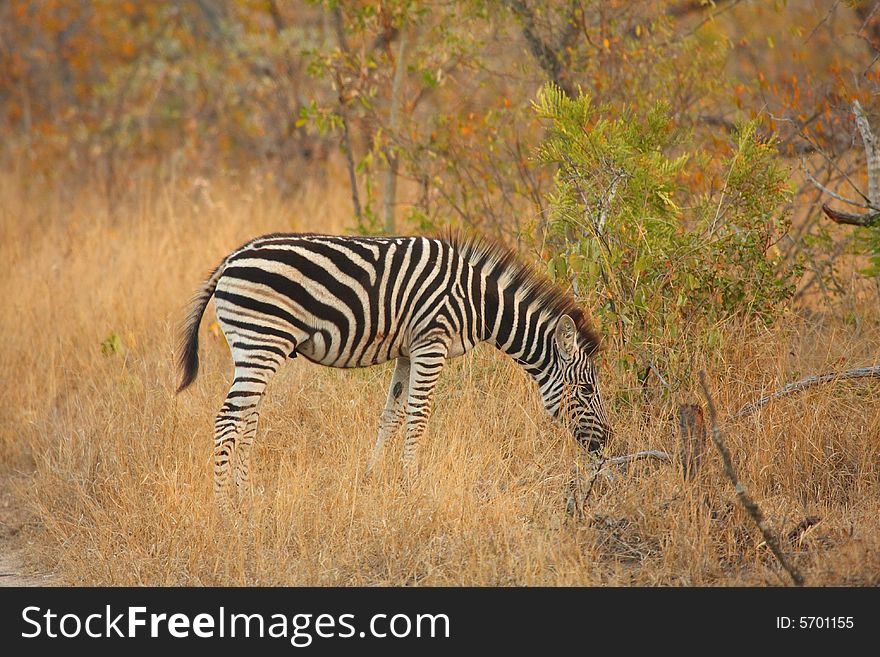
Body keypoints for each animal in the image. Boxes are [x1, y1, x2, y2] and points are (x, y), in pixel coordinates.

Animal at [179, 232, 612, 508]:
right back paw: (224, 509)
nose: (606, 442)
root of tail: (232, 258)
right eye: (587, 391)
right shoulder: (432, 342)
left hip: (256, 347)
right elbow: (419, 415)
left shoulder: (408, 349)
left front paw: (372, 479)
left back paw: (244, 498)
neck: (477, 303)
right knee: (228, 419)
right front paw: (413, 486)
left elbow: (392, 413)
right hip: (262, 339)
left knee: (247, 418)